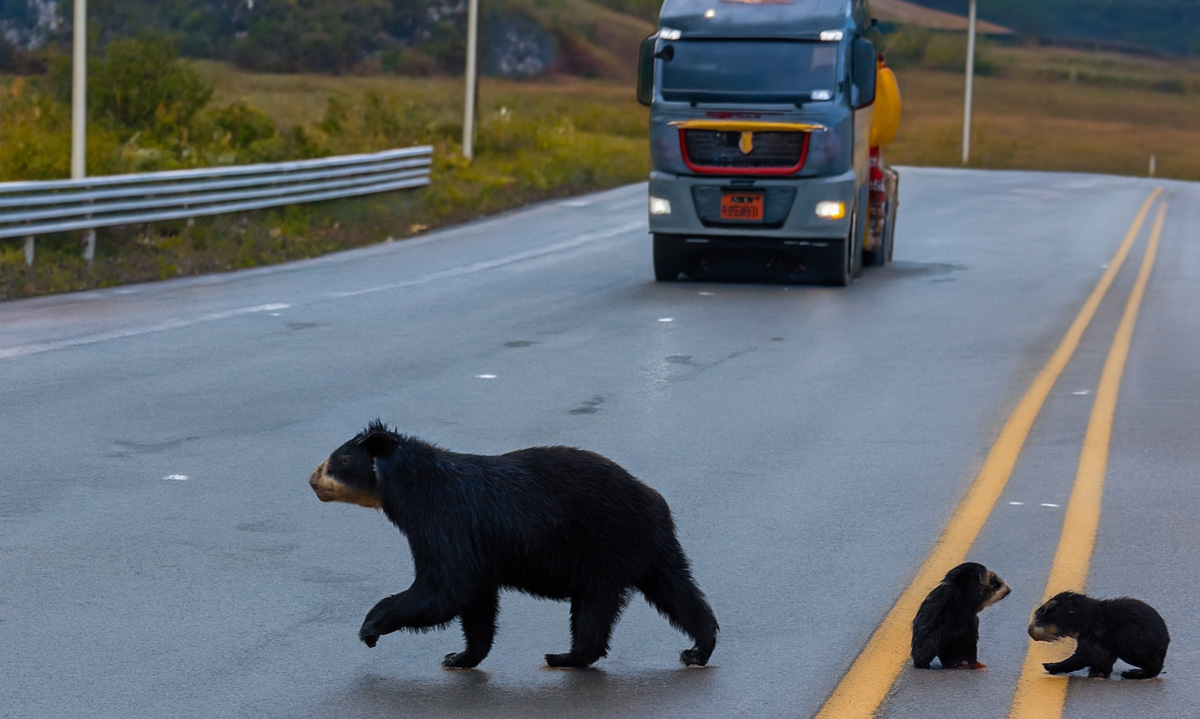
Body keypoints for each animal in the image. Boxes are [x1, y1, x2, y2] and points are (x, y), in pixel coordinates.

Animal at [308, 421, 719, 670]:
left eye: (342, 459)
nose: (312, 479)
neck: (414, 487)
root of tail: (654, 498)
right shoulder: (476, 548)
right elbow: (476, 601)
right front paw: (460, 656)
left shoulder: (444, 522)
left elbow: (444, 588)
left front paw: (370, 627)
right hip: (651, 550)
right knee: (679, 593)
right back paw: (698, 648)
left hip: (604, 548)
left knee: (594, 611)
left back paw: (563, 656)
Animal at [1028, 591, 1169, 679]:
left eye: (1041, 612)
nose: (1030, 631)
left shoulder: (1093, 636)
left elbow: (1084, 658)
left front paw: (1050, 665)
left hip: (1135, 648)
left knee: (1155, 667)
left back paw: (1132, 673)